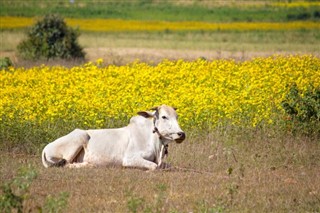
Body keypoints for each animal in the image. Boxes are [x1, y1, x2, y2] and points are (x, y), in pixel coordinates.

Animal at [41, 104, 185, 171]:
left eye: (177, 116)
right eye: (164, 116)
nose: (181, 134)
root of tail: (45, 149)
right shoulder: (129, 159)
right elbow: (154, 166)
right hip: (81, 136)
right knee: (66, 164)